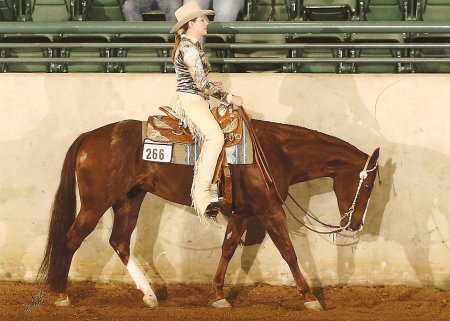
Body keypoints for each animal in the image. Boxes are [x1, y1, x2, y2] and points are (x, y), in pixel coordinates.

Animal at [37, 115, 380, 310]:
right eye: (367, 184)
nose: (355, 224)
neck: (275, 152)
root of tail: (90, 136)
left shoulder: (242, 214)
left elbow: (228, 249)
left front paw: (219, 295)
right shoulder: (269, 211)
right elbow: (289, 252)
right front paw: (310, 297)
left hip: (129, 199)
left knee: (119, 241)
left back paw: (149, 296)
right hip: (97, 202)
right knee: (71, 238)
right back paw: (62, 295)